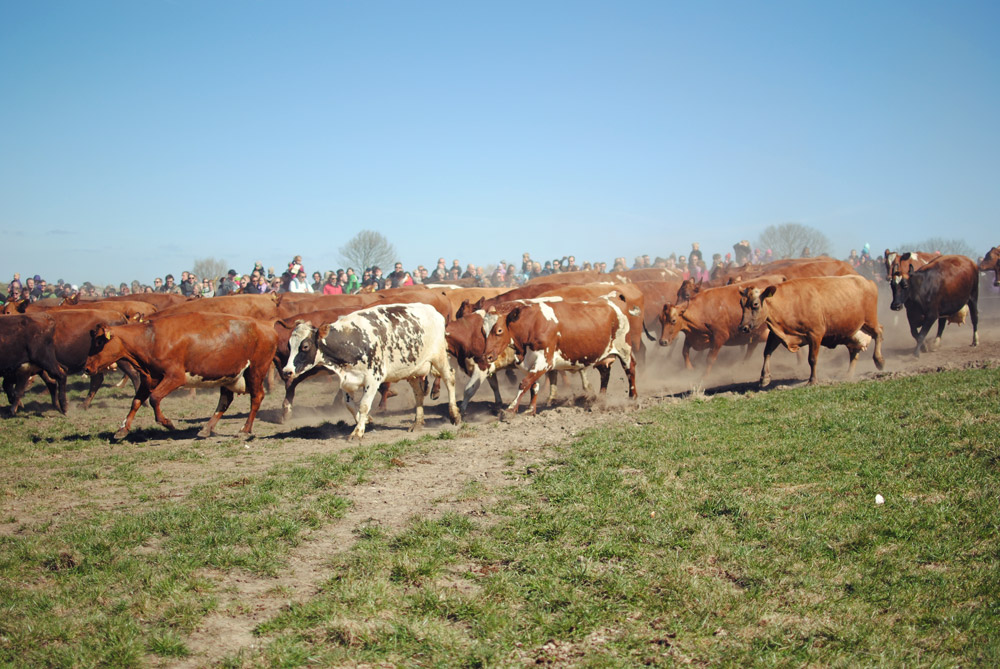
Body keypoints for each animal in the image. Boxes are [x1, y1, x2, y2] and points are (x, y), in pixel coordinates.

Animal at [85, 312, 278, 440]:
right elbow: (136, 402)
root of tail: (266, 325)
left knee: (257, 397)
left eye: (100, 342)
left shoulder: (175, 377)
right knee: (225, 400)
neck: (149, 339)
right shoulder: (149, 378)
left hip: (255, 371)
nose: (86, 368)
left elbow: (154, 398)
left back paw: (244, 430)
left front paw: (167, 423)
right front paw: (123, 429)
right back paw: (206, 429)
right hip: (230, 375)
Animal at [280, 302, 458, 438]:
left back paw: (454, 415)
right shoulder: (347, 380)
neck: (352, 340)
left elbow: (364, 405)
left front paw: (357, 432)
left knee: (449, 380)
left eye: (305, 346)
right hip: (411, 370)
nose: (287, 371)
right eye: (289, 345)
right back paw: (418, 422)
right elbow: (350, 405)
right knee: (418, 393)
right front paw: (366, 420)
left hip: (439, 357)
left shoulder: (373, 379)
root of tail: (433, 311)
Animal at [482, 296, 636, 412]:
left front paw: (510, 409)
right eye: (483, 331)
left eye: (499, 330)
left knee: (630, 370)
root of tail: (614, 299)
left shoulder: (544, 361)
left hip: (624, 349)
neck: (530, 324)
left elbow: (524, 383)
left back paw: (632, 398)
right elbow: (533, 386)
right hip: (602, 355)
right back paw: (600, 400)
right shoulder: (529, 362)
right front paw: (530, 409)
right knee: (605, 373)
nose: (487, 356)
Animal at [736, 272, 884, 386]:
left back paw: (879, 361)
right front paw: (764, 378)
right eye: (741, 304)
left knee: (879, 333)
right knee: (854, 352)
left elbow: (812, 359)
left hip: (870, 320)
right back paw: (848, 375)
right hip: (850, 332)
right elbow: (767, 352)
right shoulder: (776, 334)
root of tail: (867, 281)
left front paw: (812, 380)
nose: (743, 327)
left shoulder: (815, 334)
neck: (790, 303)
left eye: (755, 304)